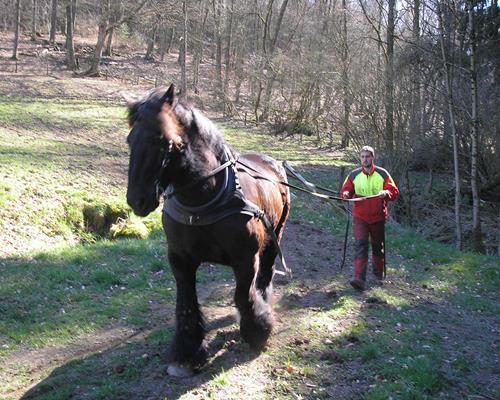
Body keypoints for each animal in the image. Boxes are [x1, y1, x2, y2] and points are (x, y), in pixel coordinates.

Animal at [125, 84, 292, 378]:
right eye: (130, 139)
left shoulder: (245, 259)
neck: (204, 197)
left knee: (265, 277)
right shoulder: (180, 261)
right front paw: (187, 352)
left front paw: (258, 329)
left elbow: (244, 294)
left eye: (160, 140)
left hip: (275, 238)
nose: (137, 199)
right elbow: (186, 304)